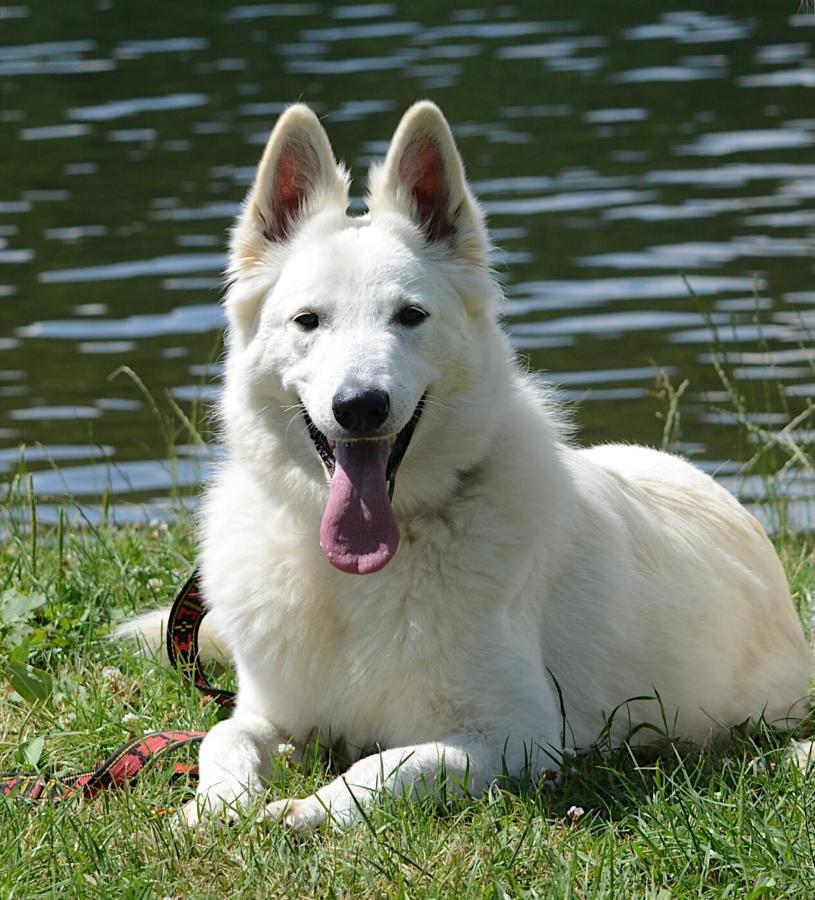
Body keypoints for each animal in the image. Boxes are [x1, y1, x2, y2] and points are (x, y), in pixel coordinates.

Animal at [121, 100, 808, 828]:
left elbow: (386, 768)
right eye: (307, 321)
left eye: (410, 316)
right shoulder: (271, 713)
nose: (359, 407)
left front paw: (303, 811)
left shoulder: (518, 738)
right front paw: (214, 806)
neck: (360, 576)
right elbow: (223, 738)